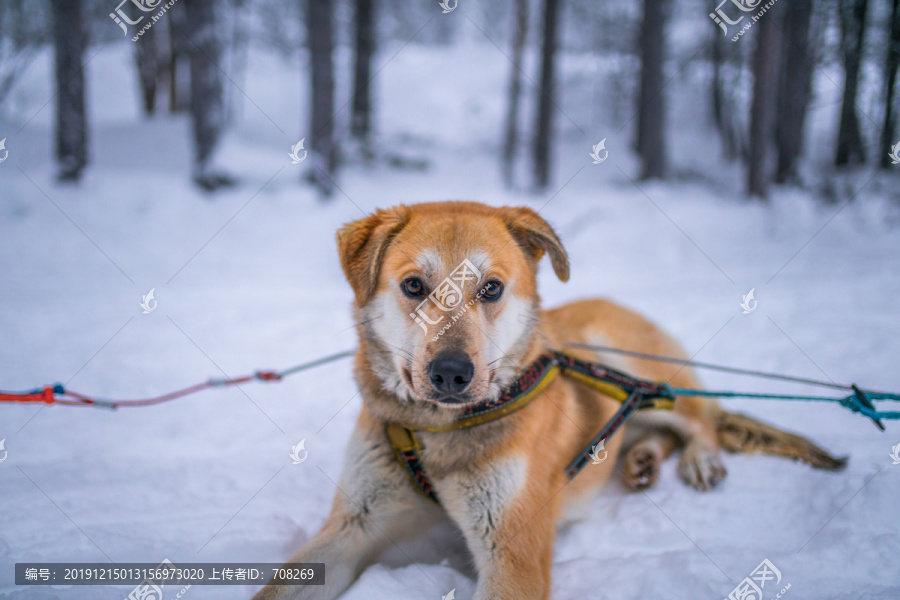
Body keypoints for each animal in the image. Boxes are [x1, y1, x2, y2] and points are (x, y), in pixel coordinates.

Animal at [251, 202, 844, 600]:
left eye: (491, 288)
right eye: (414, 285)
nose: (451, 373)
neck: (439, 432)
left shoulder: (512, 555)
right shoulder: (355, 523)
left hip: (630, 364)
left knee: (699, 421)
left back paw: (697, 459)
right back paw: (641, 459)